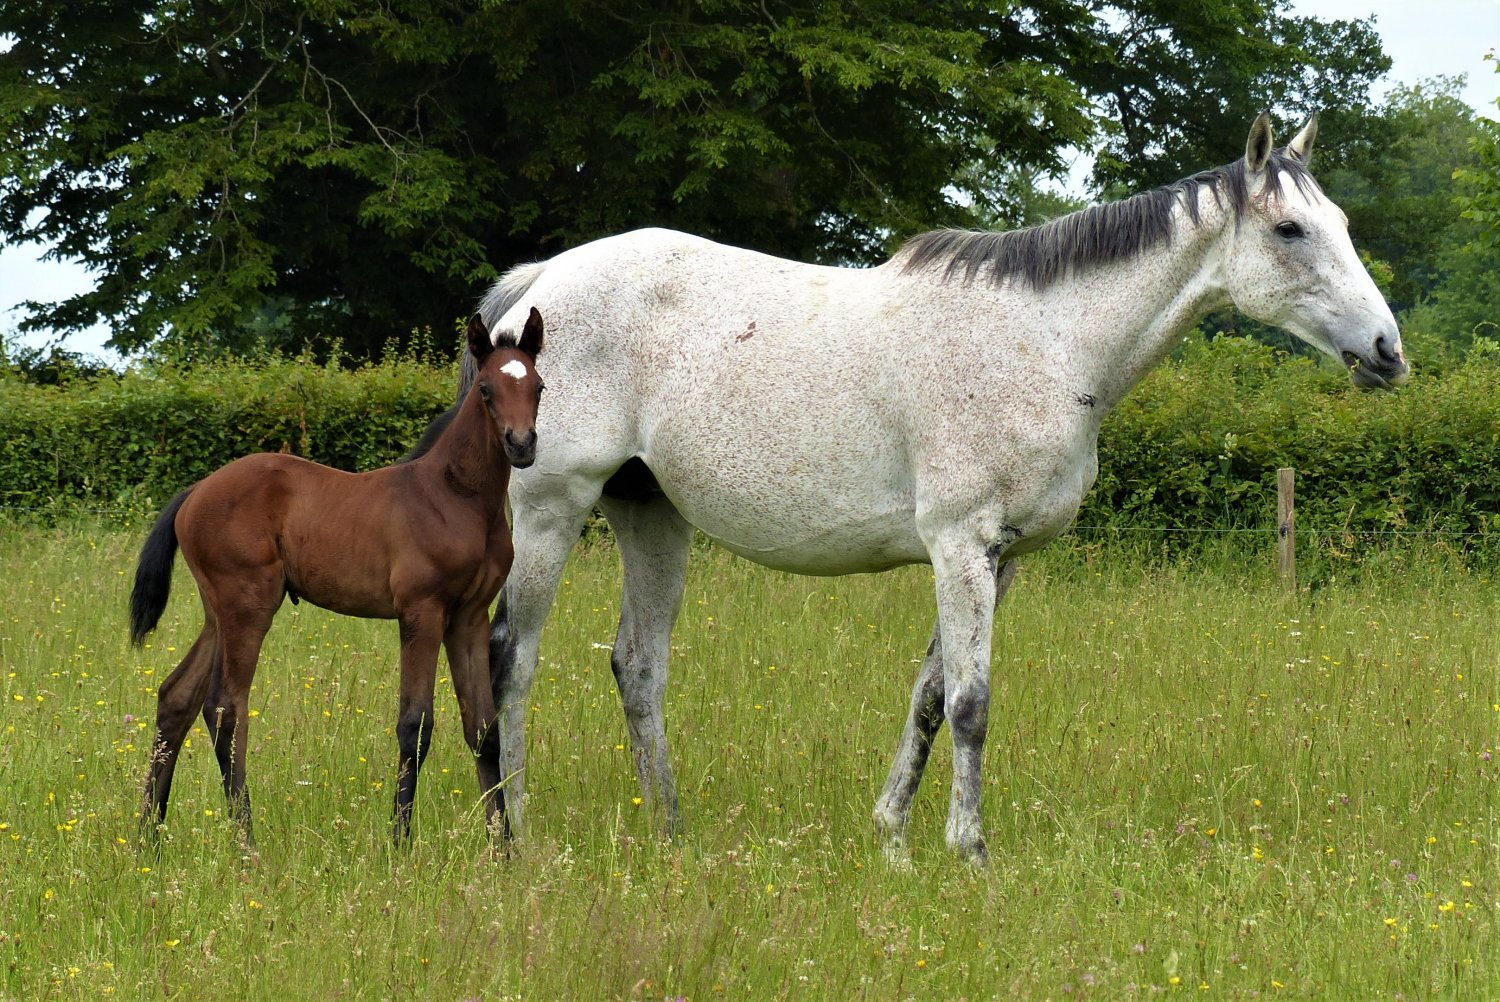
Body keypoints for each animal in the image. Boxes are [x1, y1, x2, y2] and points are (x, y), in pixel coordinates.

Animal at [129, 309, 545, 843]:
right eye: (487, 389)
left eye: (538, 386)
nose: (522, 444)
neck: (455, 496)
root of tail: (195, 491)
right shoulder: (422, 611)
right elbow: (414, 725)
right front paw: (399, 842)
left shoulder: (468, 617)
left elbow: (483, 729)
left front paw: (504, 847)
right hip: (248, 605)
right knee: (225, 709)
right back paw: (246, 841)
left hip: (218, 612)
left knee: (176, 697)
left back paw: (148, 836)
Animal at [465, 113, 1408, 863]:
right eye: (1289, 229)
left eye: (1341, 222)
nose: (1388, 350)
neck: (1045, 341)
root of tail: (540, 286)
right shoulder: (961, 546)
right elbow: (970, 704)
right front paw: (969, 852)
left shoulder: (1002, 558)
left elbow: (927, 699)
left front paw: (891, 839)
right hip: (552, 509)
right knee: (510, 656)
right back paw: (513, 836)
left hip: (651, 514)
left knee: (638, 665)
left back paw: (670, 832)